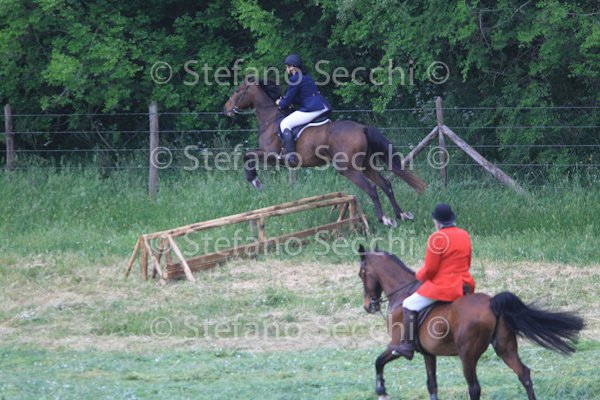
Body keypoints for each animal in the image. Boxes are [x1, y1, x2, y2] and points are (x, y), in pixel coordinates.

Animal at [222, 76, 426, 226]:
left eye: (237, 91)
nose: (225, 110)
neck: (270, 119)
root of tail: (362, 128)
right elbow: (248, 155)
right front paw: (255, 181)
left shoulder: (271, 155)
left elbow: (247, 155)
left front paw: (255, 181)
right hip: (366, 165)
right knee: (386, 185)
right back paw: (401, 215)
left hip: (348, 169)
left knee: (372, 188)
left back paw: (385, 219)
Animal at [357, 244, 585, 400]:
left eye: (361, 274)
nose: (368, 306)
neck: (402, 293)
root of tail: (492, 303)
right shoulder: (429, 354)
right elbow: (432, 385)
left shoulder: (397, 347)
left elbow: (378, 362)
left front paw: (381, 391)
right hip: (505, 347)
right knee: (524, 374)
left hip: (468, 355)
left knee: (474, 388)